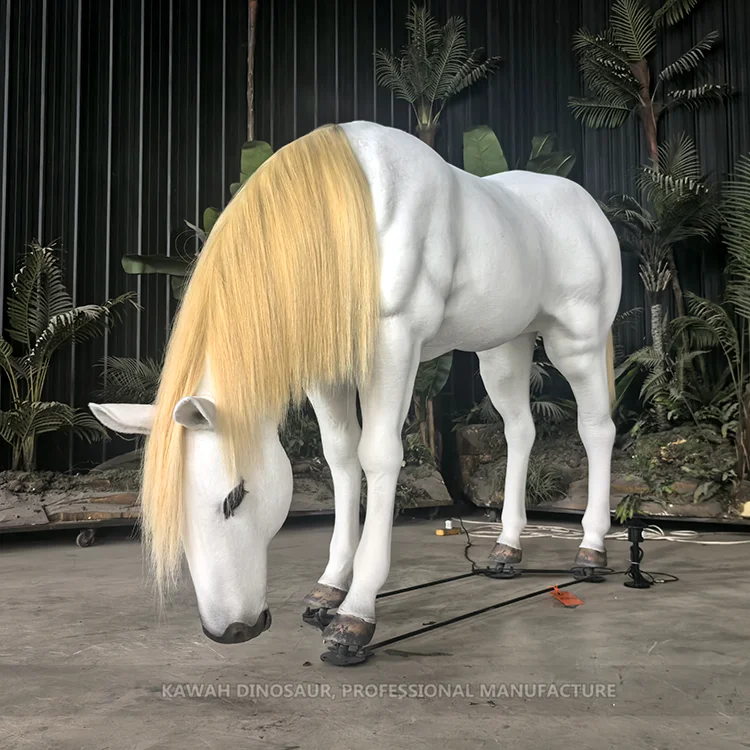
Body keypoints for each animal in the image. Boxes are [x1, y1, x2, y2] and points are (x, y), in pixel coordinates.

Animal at [89, 121, 621, 655]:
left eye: (234, 498)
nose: (232, 630)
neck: (355, 217)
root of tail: (590, 211)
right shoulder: (328, 372)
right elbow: (341, 460)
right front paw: (329, 587)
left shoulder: (394, 348)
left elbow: (379, 458)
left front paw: (356, 611)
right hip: (503, 349)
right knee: (520, 430)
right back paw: (506, 550)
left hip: (577, 344)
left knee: (597, 430)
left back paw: (591, 551)